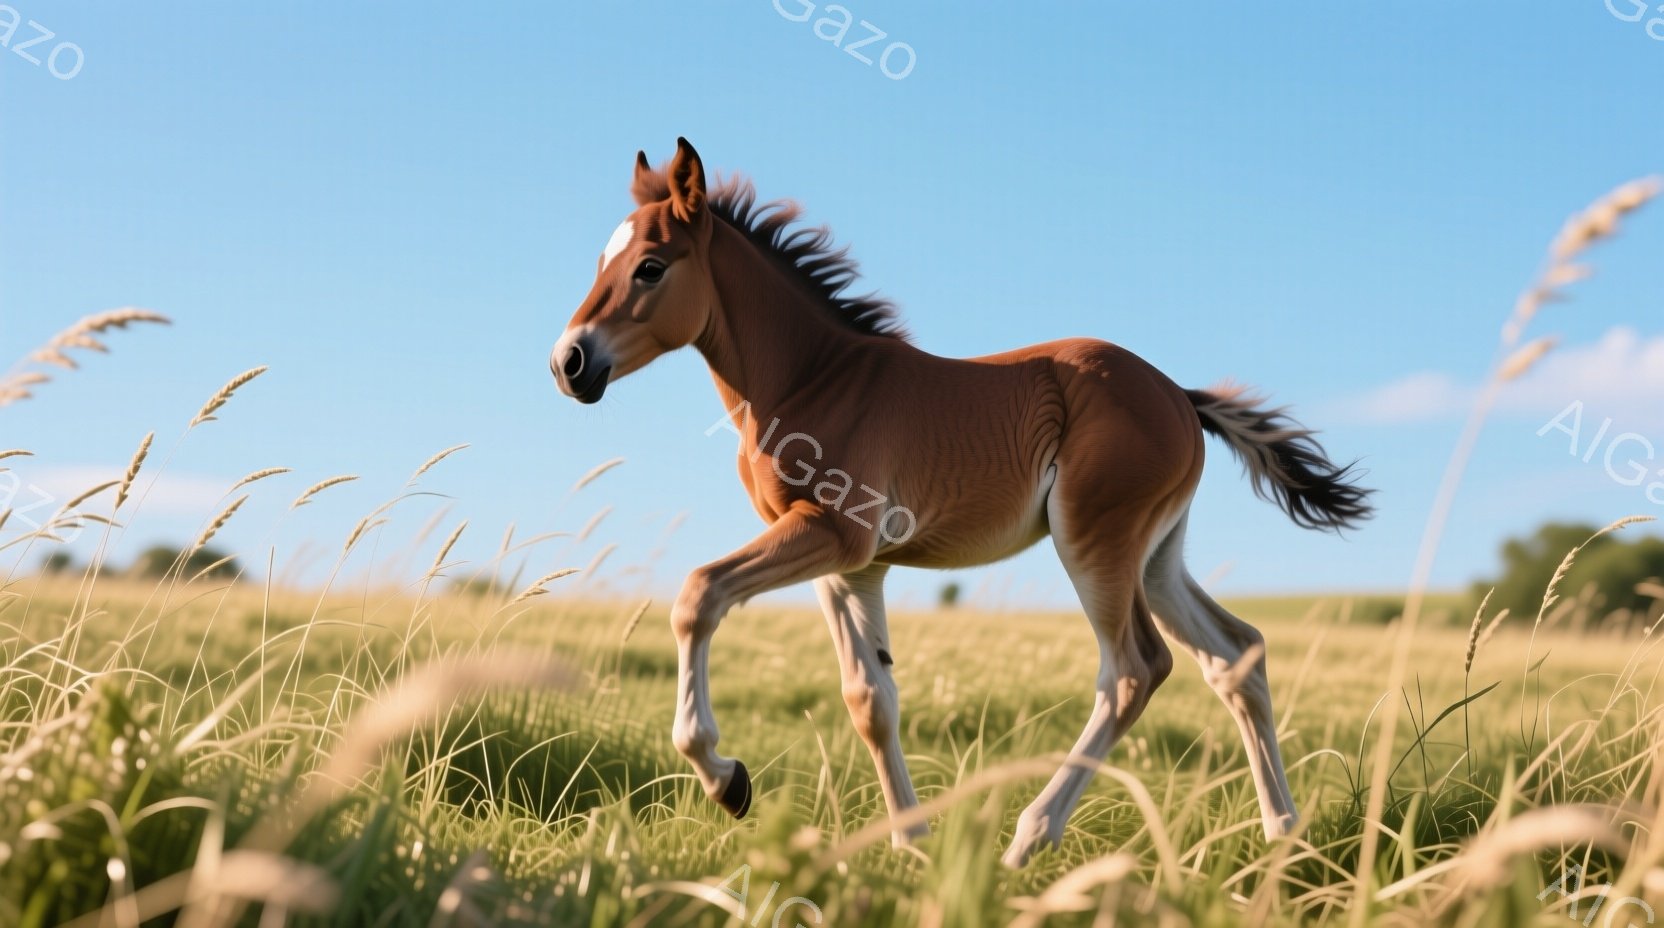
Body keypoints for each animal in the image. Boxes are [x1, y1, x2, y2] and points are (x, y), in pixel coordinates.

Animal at [550, 138, 1371, 867]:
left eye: (651, 267)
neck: (812, 376)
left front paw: (727, 781)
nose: (569, 362)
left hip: (1095, 543)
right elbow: (870, 699)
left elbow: (698, 596)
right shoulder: (851, 565)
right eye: (599, 263)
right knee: (1237, 655)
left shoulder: (834, 534)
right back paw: (1283, 839)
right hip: (1158, 555)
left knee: (1135, 669)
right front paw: (911, 845)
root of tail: (1179, 395)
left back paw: (1027, 841)